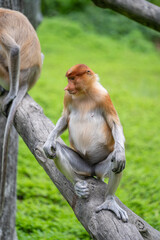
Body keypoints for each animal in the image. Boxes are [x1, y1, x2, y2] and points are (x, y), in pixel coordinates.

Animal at [43, 63, 129, 221]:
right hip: (82, 165)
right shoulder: (67, 97)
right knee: (57, 150)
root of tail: (92, 169)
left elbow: (114, 123)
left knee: (115, 162)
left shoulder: (104, 96)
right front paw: (48, 143)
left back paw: (109, 200)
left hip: (101, 168)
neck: (84, 93)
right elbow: (65, 117)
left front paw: (120, 154)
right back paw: (78, 185)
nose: (66, 87)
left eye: (72, 79)